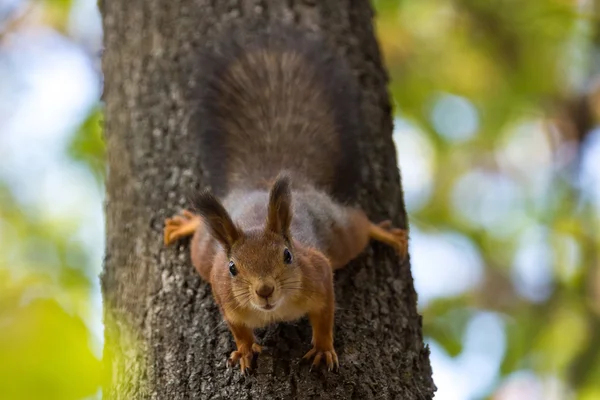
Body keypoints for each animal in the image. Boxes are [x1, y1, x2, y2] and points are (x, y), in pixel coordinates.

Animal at [163, 24, 408, 376]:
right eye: (233, 268)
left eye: (288, 255)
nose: (264, 290)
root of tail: (262, 182)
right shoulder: (223, 292)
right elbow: (237, 328)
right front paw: (245, 349)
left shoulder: (319, 274)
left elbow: (325, 316)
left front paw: (323, 349)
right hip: (202, 252)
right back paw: (188, 223)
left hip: (339, 233)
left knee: (359, 224)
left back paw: (385, 233)